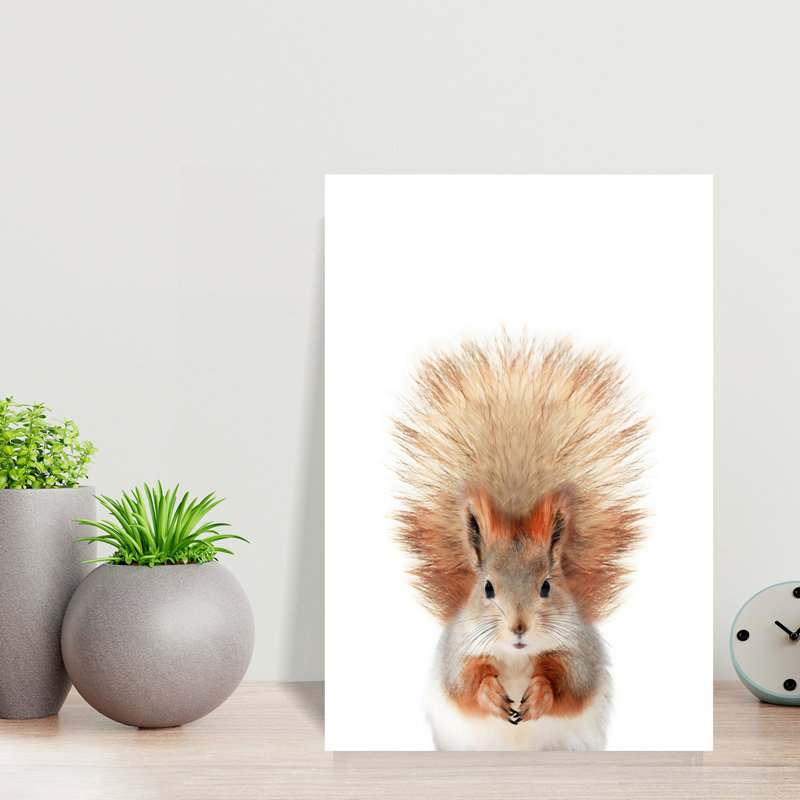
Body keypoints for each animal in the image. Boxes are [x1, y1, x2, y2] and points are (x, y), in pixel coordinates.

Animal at [392, 333, 647, 750]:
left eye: (546, 586)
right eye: (487, 588)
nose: (519, 627)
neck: (514, 657)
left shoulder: (579, 653)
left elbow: (568, 685)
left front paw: (540, 694)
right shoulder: (458, 653)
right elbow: (465, 684)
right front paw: (490, 694)